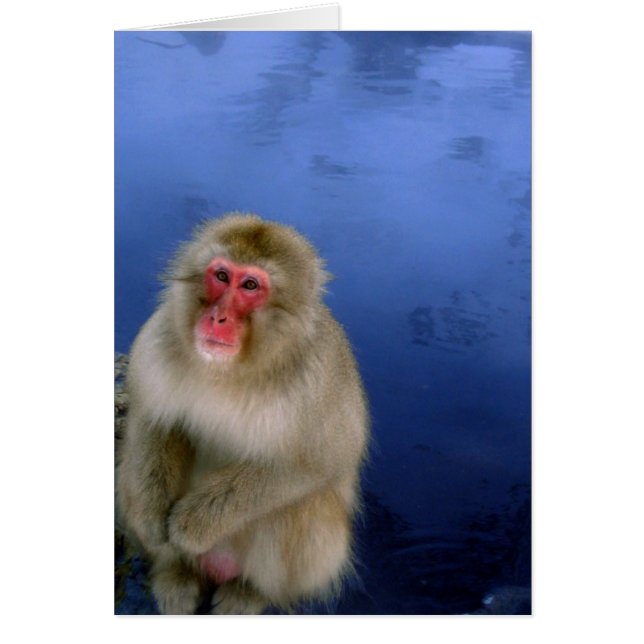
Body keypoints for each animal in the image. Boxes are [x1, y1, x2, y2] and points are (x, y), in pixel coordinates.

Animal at [116, 212, 369, 615]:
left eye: (250, 285)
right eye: (221, 276)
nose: (217, 317)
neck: (233, 370)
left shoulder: (320, 376)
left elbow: (315, 465)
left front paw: (193, 524)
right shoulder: (159, 337)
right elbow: (154, 422)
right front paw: (151, 518)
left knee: (302, 508)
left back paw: (251, 592)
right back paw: (176, 574)